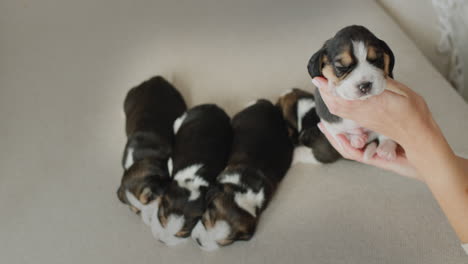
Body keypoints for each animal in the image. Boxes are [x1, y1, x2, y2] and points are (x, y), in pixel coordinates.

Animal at [150, 104, 232, 246]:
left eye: (181, 233)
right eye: (162, 219)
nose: (161, 240)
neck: (192, 181)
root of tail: (213, 106)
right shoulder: (170, 163)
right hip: (179, 121)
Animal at [308, 25, 398, 161]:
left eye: (377, 60)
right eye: (341, 67)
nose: (365, 86)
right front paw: (332, 86)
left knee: (385, 135)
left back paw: (385, 148)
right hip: (329, 124)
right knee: (341, 133)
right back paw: (357, 139)